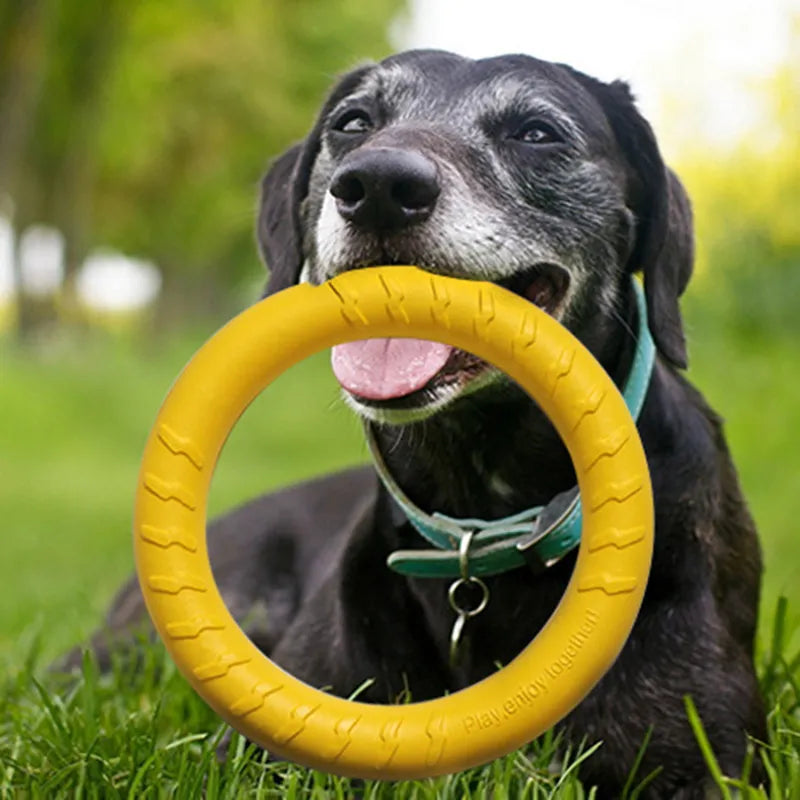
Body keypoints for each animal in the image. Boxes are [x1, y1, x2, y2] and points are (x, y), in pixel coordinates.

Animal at [78, 51, 764, 800]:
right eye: (353, 122)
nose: (378, 185)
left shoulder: (702, 760)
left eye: (537, 132)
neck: (485, 508)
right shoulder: (259, 755)